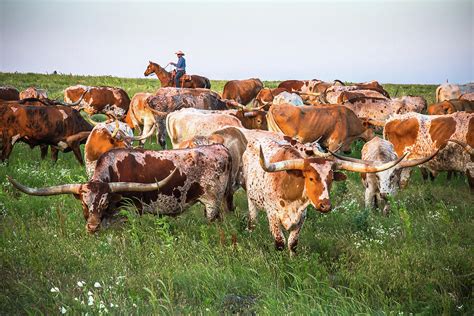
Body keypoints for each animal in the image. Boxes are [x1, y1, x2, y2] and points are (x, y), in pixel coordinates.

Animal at [9, 145, 233, 232]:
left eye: (104, 202)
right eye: (84, 204)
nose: (92, 227)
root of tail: (220, 148)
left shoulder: (131, 211)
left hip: (212, 204)